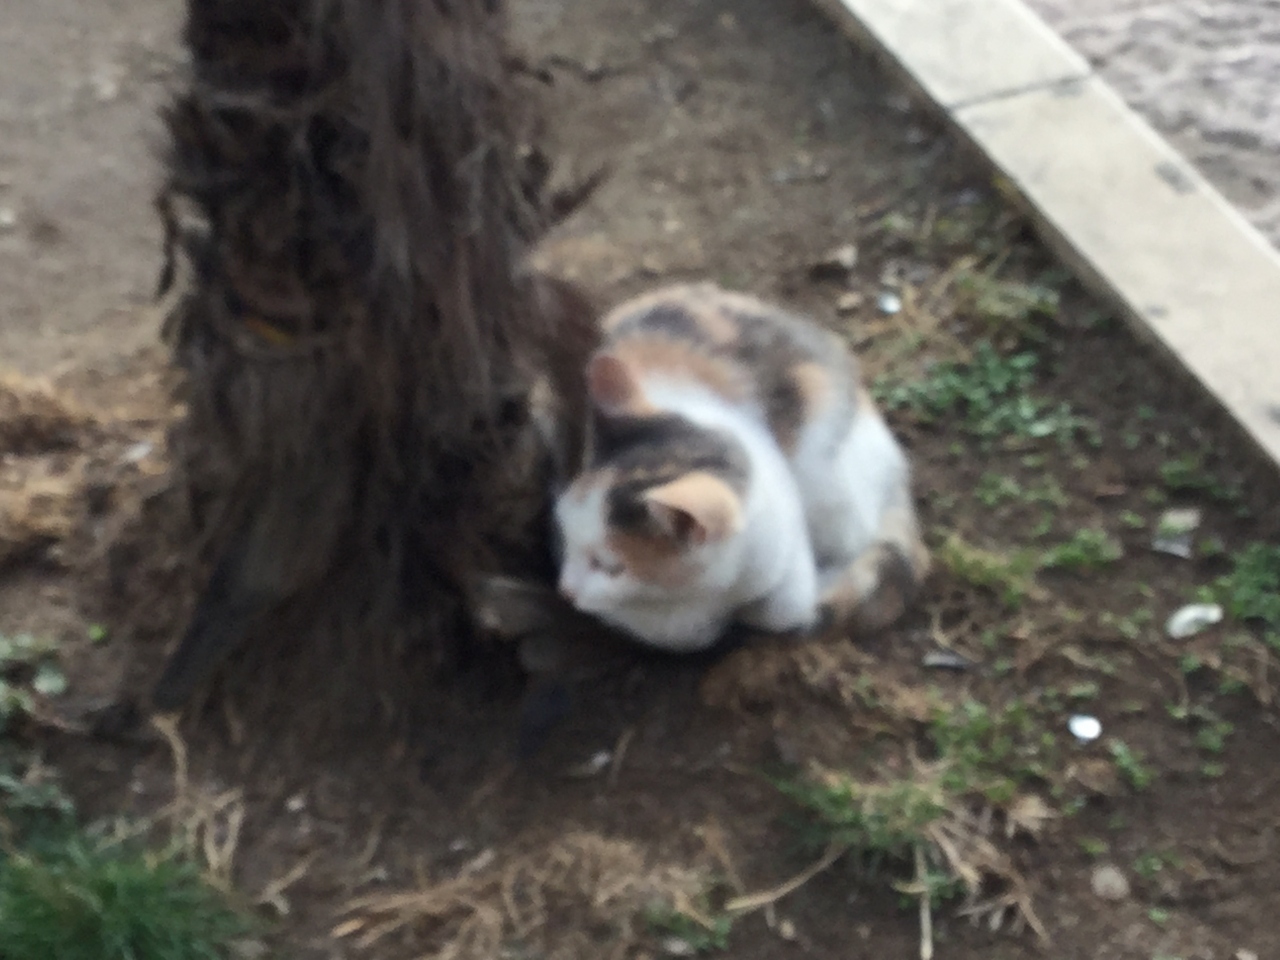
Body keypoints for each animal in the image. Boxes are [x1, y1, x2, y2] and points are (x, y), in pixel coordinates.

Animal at [552, 281, 929, 653]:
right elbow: (681, 634)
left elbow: (785, 609)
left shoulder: (781, 538)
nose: (564, 590)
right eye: (565, 531)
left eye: (610, 567)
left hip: (829, 481)